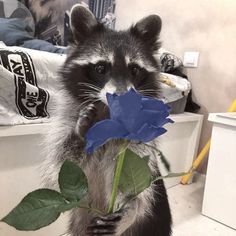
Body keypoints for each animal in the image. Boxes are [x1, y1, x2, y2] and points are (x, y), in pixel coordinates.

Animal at [42, 4, 171, 236]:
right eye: (101, 68)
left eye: (134, 70)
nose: (121, 98)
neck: (110, 118)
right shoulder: (64, 126)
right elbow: (61, 166)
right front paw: (81, 134)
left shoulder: (137, 147)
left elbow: (137, 191)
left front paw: (129, 209)